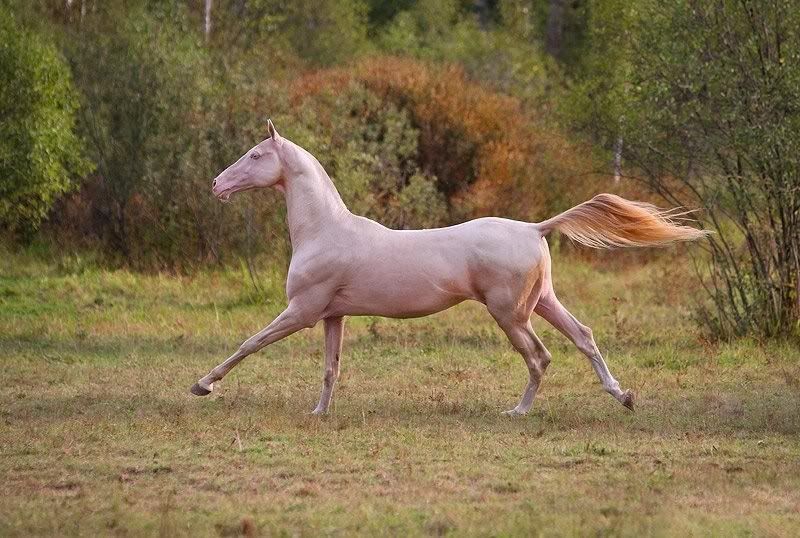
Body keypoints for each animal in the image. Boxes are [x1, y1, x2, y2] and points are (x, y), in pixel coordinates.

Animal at [191, 120, 707, 416]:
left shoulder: (302, 312)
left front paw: (203, 385)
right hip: (542, 302)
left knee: (539, 356)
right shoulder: (333, 316)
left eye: (256, 155)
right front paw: (319, 413)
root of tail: (535, 228)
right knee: (584, 337)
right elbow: (330, 368)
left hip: (510, 314)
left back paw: (518, 412)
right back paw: (623, 396)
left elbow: (250, 342)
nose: (216, 184)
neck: (324, 230)